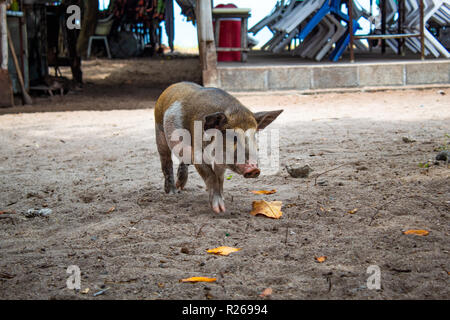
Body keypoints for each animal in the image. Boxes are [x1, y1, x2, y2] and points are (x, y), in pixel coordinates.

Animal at [155, 81, 282, 214]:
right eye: (232, 136)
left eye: (254, 136)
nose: (254, 169)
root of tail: (172, 87)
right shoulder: (197, 153)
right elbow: (211, 176)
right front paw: (219, 209)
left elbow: (220, 178)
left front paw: (224, 199)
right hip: (160, 133)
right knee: (166, 162)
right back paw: (172, 192)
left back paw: (180, 186)